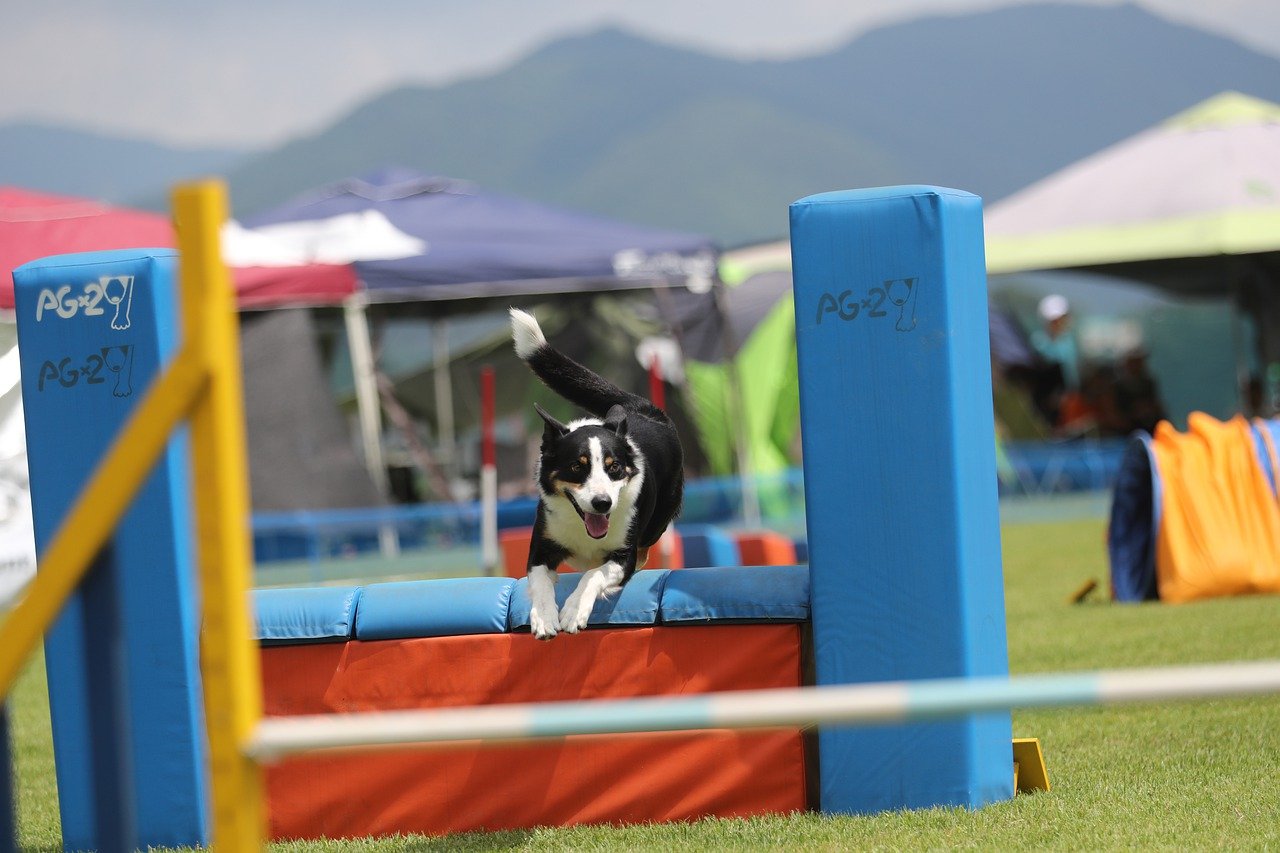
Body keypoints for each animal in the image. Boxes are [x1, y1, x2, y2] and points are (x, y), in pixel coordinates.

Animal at [509, 307, 686, 637]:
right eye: (576, 467)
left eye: (613, 467)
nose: (602, 504)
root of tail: (643, 409)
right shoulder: (541, 548)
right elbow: (539, 582)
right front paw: (545, 618)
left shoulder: (622, 557)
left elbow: (593, 575)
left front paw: (573, 612)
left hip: (658, 521)